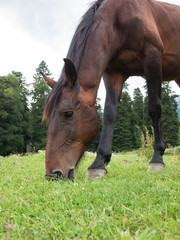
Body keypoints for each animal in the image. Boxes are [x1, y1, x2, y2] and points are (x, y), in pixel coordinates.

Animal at [41, 0, 180, 178]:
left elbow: (154, 109)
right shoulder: (113, 72)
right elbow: (109, 113)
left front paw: (157, 159)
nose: (53, 174)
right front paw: (99, 163)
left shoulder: (152, 58)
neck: (120, 19)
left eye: (68, 113)